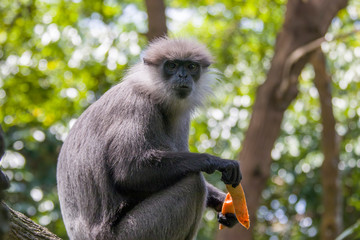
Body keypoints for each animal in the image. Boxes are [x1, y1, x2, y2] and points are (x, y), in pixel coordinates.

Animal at [57, 38, 242, 239]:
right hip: (131, 233)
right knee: (194, 183)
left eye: (191, 66)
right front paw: (216, 161)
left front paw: (226, 204)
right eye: (172, 65)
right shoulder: (137, 106)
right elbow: (128, 172)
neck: (154, 94)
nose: (183, 75)